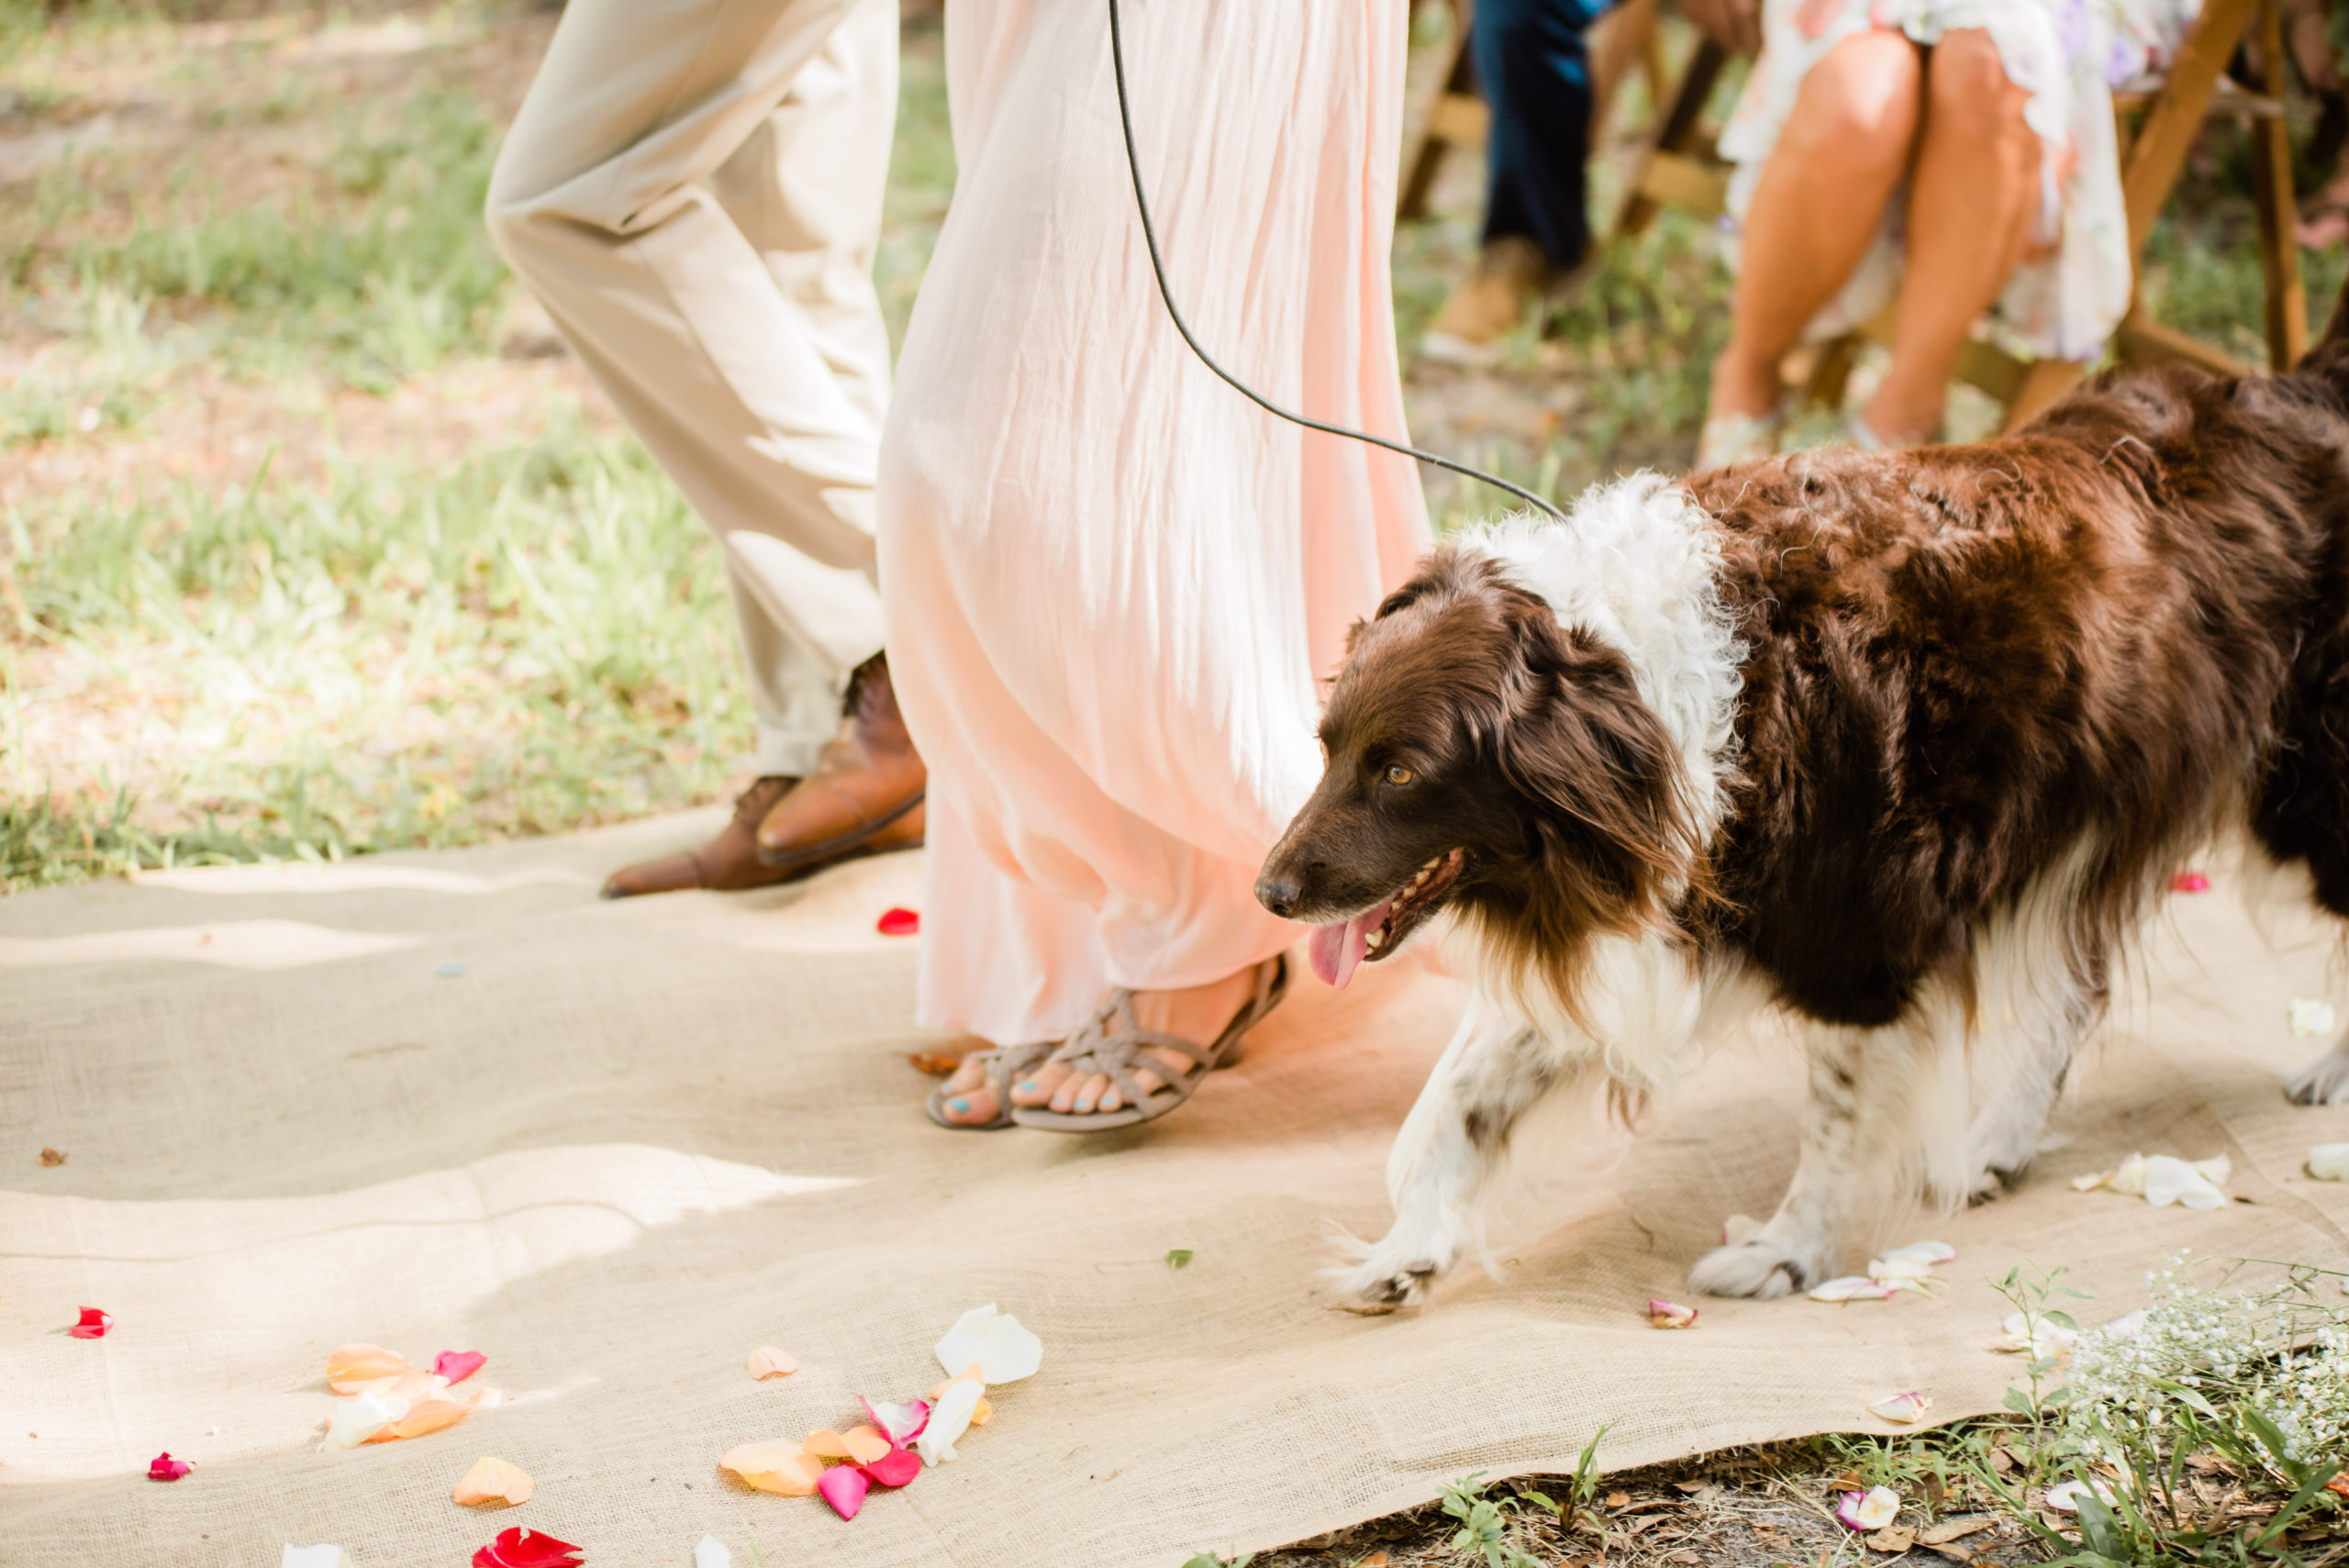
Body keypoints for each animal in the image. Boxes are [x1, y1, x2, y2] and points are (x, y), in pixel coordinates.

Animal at [1268, 287, 2349, 1305]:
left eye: (1401, 771)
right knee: (2074, 991)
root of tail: (2302, 391)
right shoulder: (1643, 902)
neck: (1643, 690)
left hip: (2296, 800)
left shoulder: (1859, 932)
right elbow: (1467, 1089)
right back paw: (1992, 1146)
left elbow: (1836, 1115)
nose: (1268, 894)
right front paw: (1411, 1246)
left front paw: (1791, 1253)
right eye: (1326, 747)